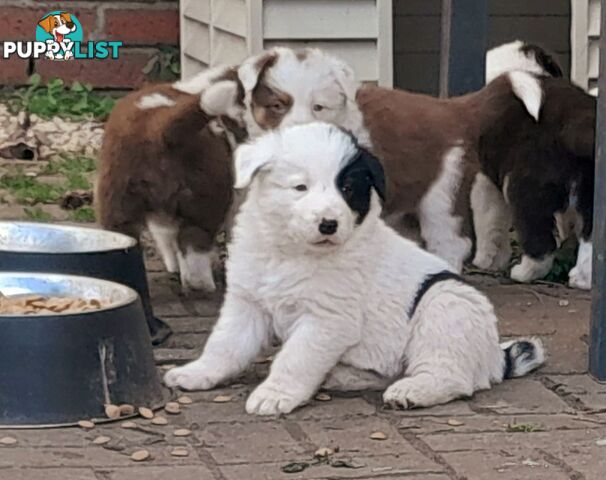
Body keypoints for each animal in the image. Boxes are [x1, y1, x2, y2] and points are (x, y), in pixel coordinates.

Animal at [97, 66, 245, 292]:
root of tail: (159, 127)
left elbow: (167, 240)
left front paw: (175, 266)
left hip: (118, 200)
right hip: (205, 203)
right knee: (196, 250)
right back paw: (205, 286)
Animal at [164, 123, 548, 412]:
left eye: (348, 189)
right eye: (300, 187)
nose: (329, 224)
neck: (292, 252)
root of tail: (495, 356)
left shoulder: (326, 320)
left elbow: (295, 358)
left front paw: (275, 394)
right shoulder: (247, 303)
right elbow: (224, 345)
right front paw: (197, 372)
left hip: (444, 306)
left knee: (451, 376)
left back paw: (411, 391)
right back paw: (342, 376)